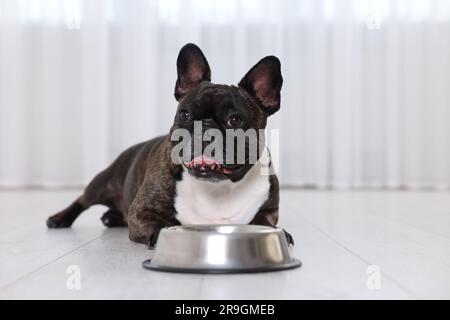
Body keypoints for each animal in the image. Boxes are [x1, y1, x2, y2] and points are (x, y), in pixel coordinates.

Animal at [45, 42, 292, 248]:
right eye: (185, 114)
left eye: (234, 120)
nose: (205, 127)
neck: (218, 188)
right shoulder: (141, 211)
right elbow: (158, 223)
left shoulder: (269, 209)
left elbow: (265, 223)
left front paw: (282, 233)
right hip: (102, 183)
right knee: (82, 200)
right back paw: (59, 218)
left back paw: (110, 217)